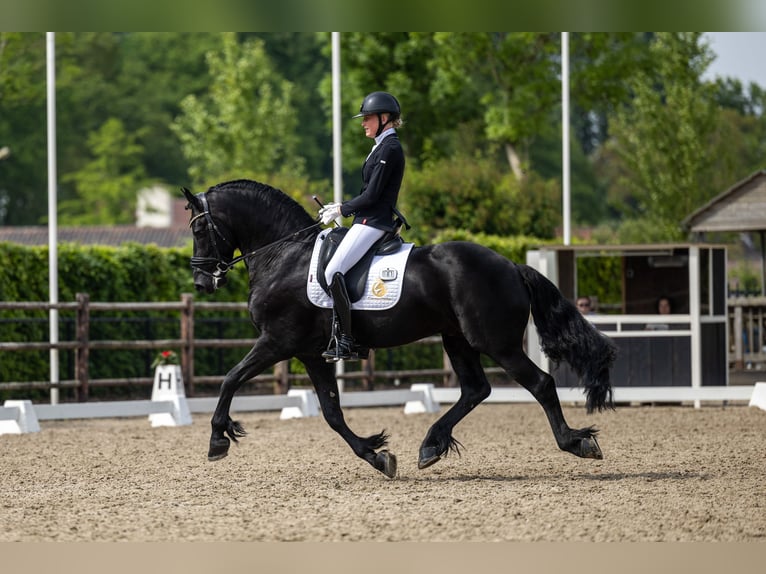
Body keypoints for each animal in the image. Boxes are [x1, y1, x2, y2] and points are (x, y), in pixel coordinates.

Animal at [183, 181, 620, 482]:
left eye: (199, 230)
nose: (202, 282)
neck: (284, 255)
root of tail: (511, 265)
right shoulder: (310, 353)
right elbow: (332, 413)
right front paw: (377, 455)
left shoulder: (276, 342)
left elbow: (230, 379)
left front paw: (218, 439)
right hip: (456, 339)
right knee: (476, 389)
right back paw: (430, 446)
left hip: (495, 342)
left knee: (540, 383)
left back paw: (576, 442)